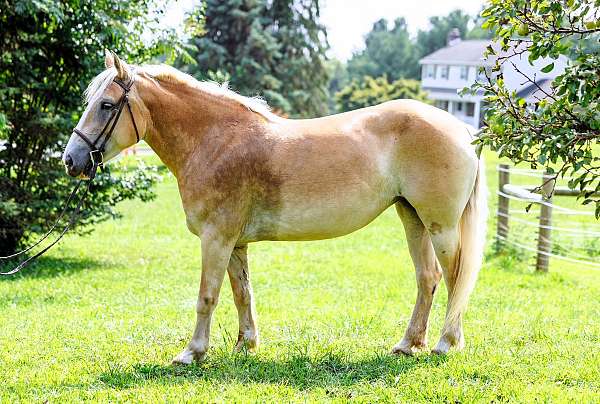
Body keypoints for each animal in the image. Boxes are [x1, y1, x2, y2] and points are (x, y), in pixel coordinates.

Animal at [63, 52, 488, 364]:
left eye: (106, 105)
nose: (71, 160)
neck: (215, 140)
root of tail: (463, 129)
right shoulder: (234, 243)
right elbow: (241, 294)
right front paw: (245, 346)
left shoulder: (216, 239)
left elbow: (207, 296)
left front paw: (192, 353)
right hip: (412, 218)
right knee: (428, 278)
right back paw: (408, 344)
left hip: (440, 226)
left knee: (454, 279)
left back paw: (446, 343)